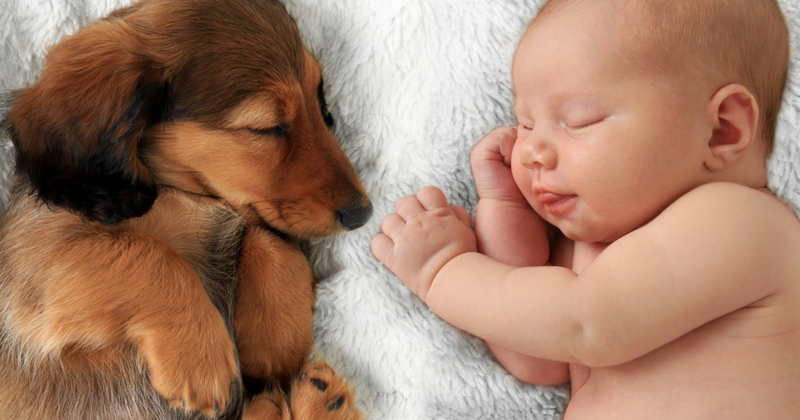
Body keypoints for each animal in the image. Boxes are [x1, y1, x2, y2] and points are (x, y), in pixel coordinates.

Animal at [0, 0, 368, 420]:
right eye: (266, 127)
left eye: (319, 100)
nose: (363, 214)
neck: (180, 191)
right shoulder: (38, 250)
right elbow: (150, 256)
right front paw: (201, 358)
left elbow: (270, 241)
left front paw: (274, 347)